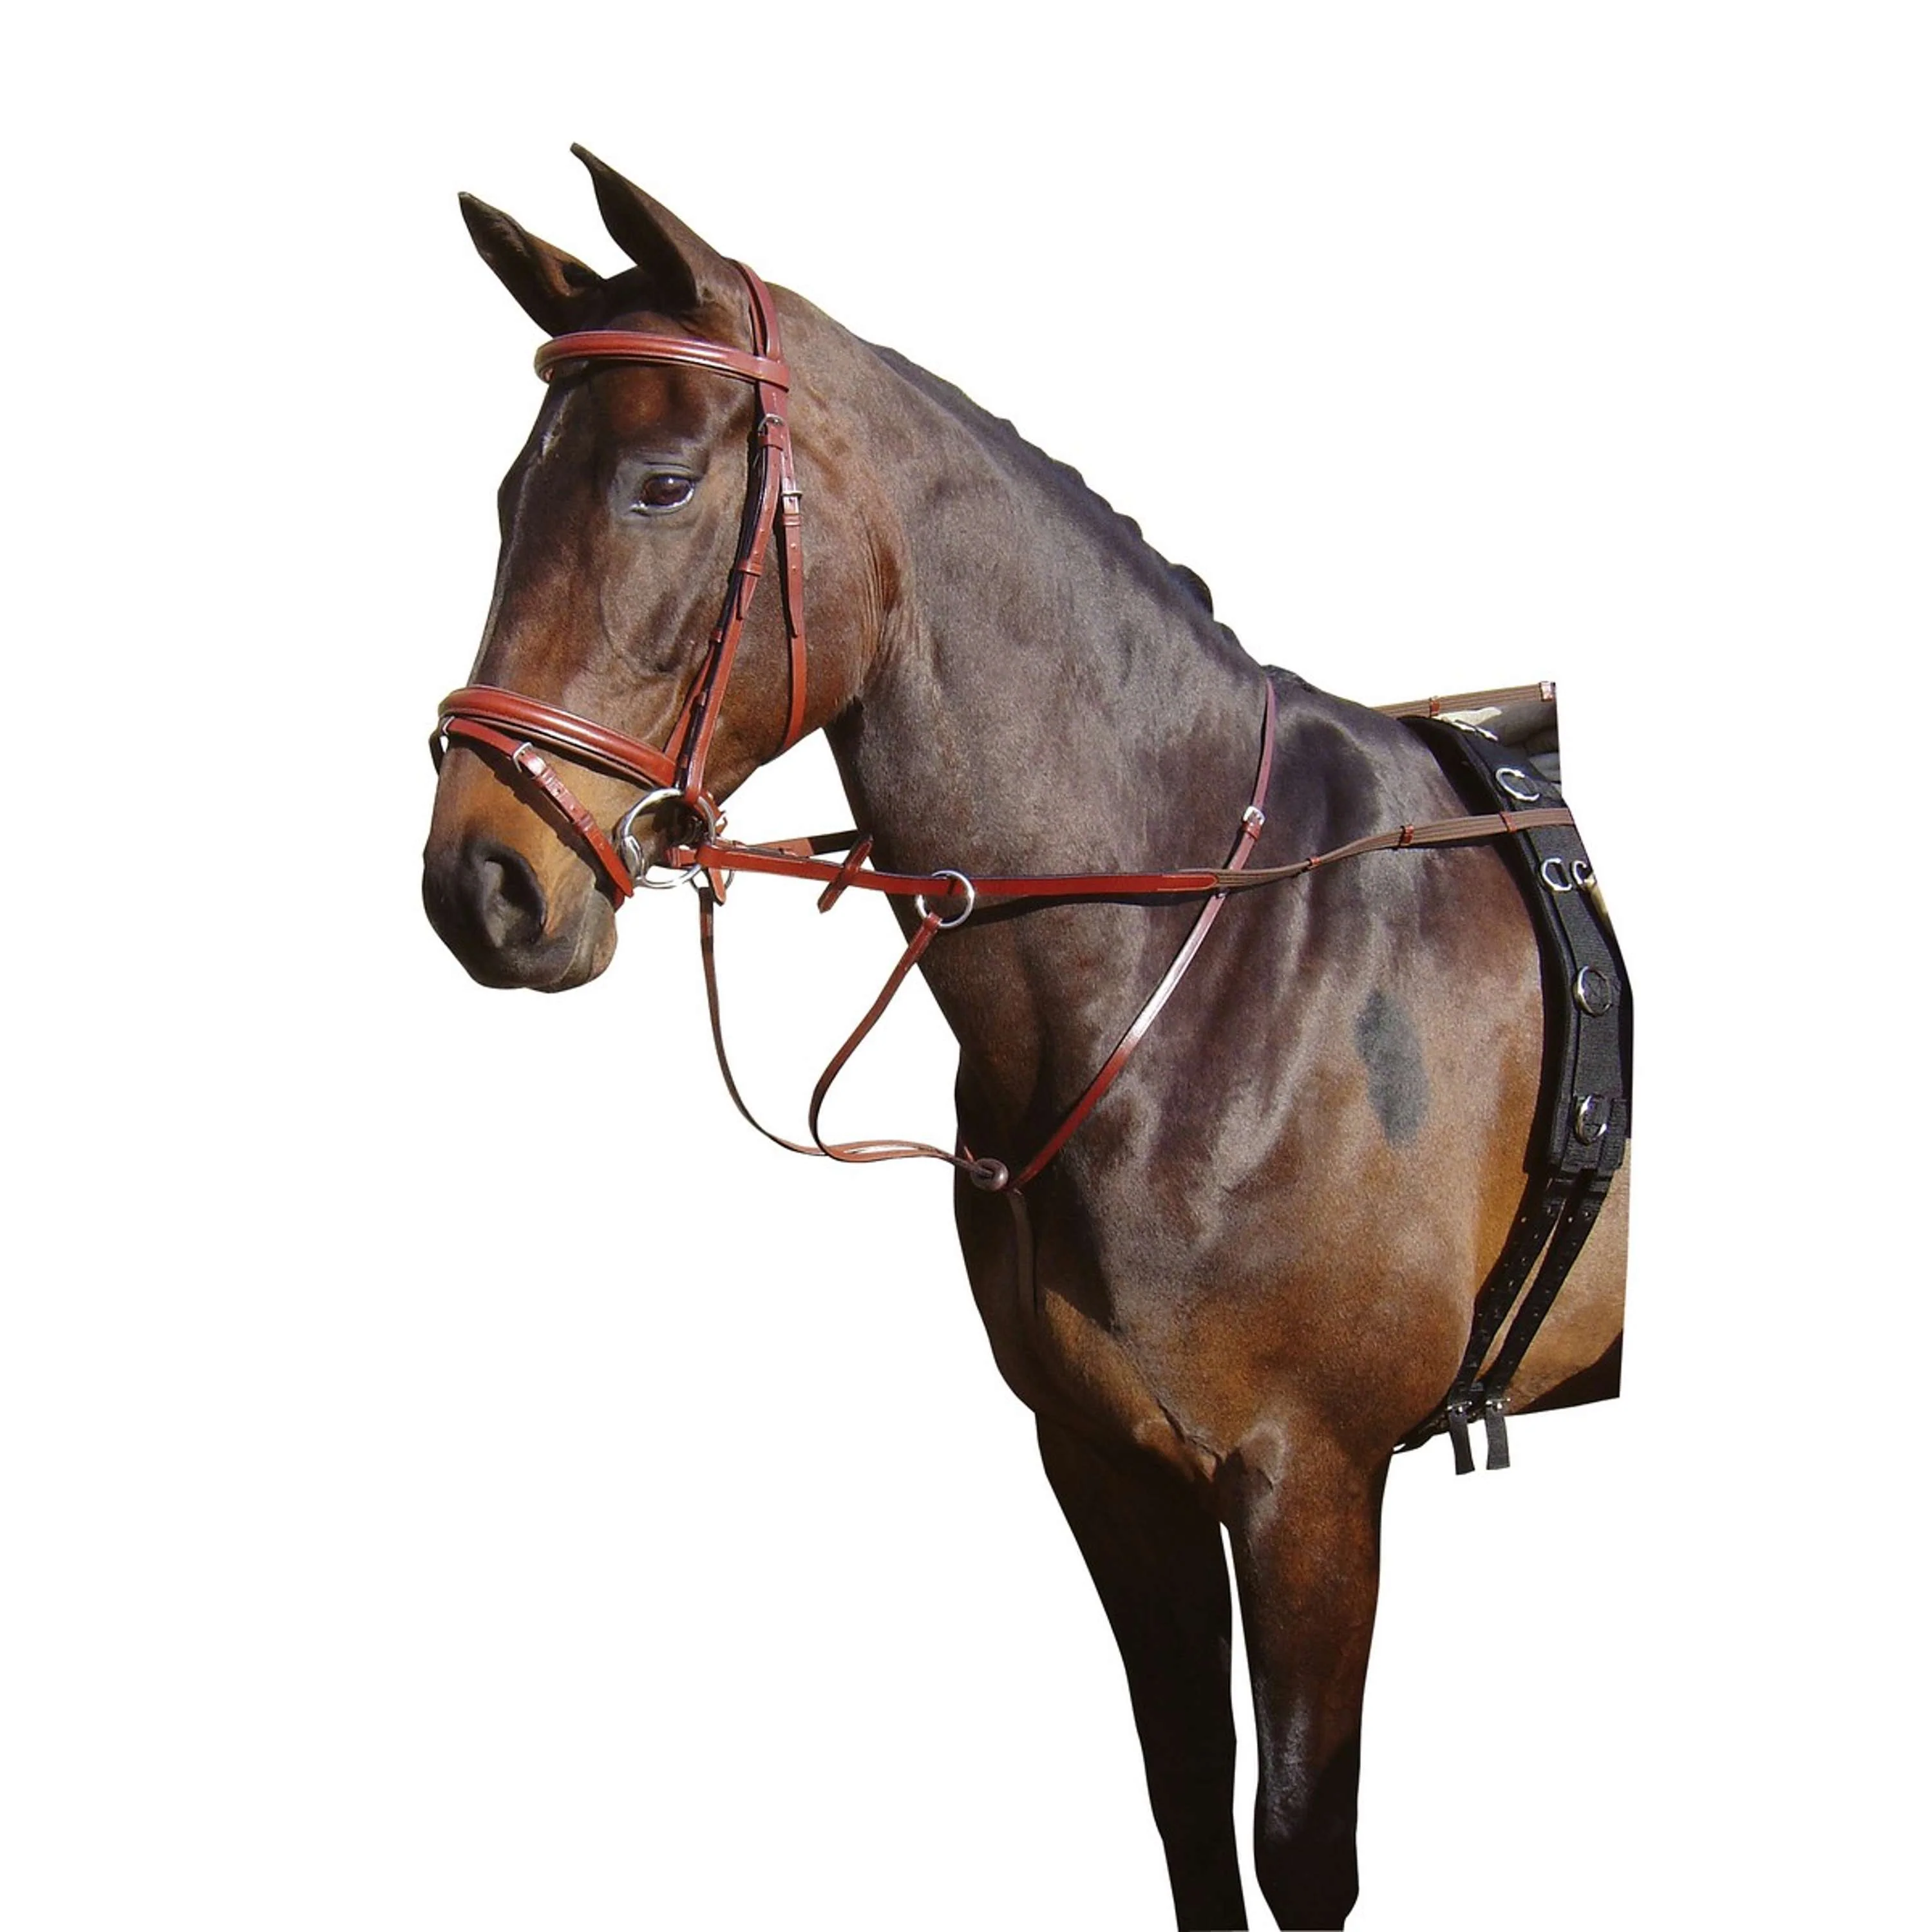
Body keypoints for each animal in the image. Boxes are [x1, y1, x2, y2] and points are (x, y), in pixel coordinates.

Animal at [420, 147, 1629, 1931]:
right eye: (512, 499)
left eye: (658, 484)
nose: (482, 881)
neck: (1208, 950)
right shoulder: (1109, 1469)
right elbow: (1187, 1806)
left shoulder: (1313, 1481)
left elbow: (1298, 1848)